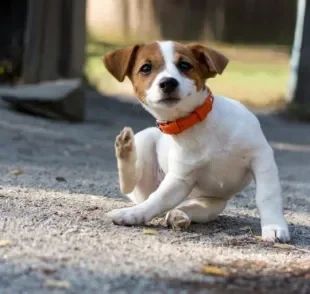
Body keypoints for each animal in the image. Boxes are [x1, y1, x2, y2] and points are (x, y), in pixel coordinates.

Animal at [103, 41, 290, 243]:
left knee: (181, 208)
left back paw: (178, 216)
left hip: (212, 205)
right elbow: (156, 200)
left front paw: (274, 226)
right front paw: (133, 214)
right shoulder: (180, 180)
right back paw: (125, 148)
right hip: (145, 142)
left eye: (185, 65)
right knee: (131, 186)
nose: (168, 82)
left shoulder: (261, 158)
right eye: (146, 68)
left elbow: (267, 195)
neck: (196, 126)